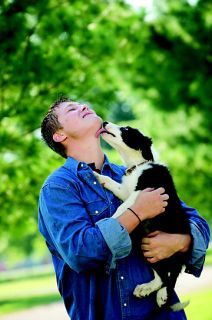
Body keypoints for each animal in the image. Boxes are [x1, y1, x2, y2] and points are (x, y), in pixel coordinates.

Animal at [94, 121, 190, 312]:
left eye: (126, 130)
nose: (104, 122)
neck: (137, 166)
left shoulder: (144, 190)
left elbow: (124, 205)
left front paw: (109, 220)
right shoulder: (126, 191)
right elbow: (113, 184)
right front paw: (97, 176)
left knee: (169, 276)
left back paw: (158, 293)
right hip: (143, 243)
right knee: (163, 275)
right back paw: (150, 290)